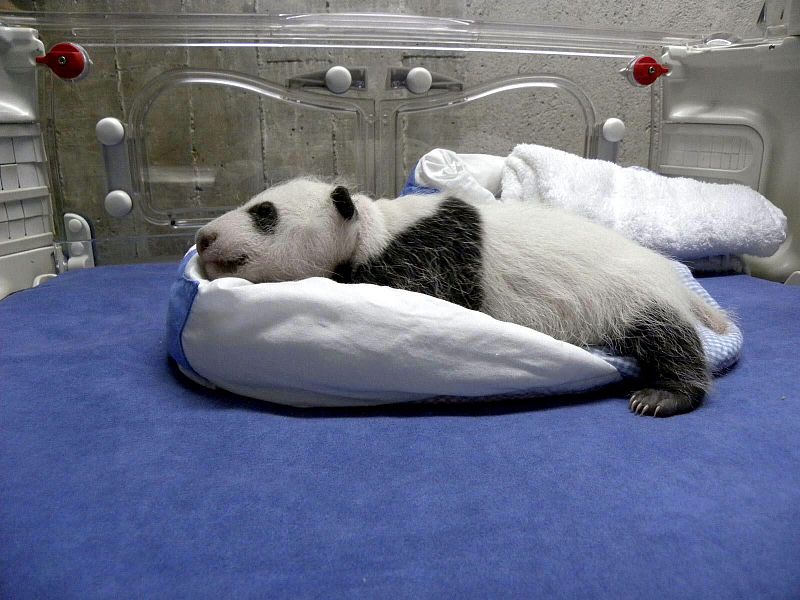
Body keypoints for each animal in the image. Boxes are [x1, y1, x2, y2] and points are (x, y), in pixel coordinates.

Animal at [195, 177, 729, 417]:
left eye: (263, 212)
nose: (203, 237)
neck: (372, 229)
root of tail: (672, 277)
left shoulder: (433, 252)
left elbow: (427, 292)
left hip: (626, 295)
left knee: (667, 337)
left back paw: (664, 395)